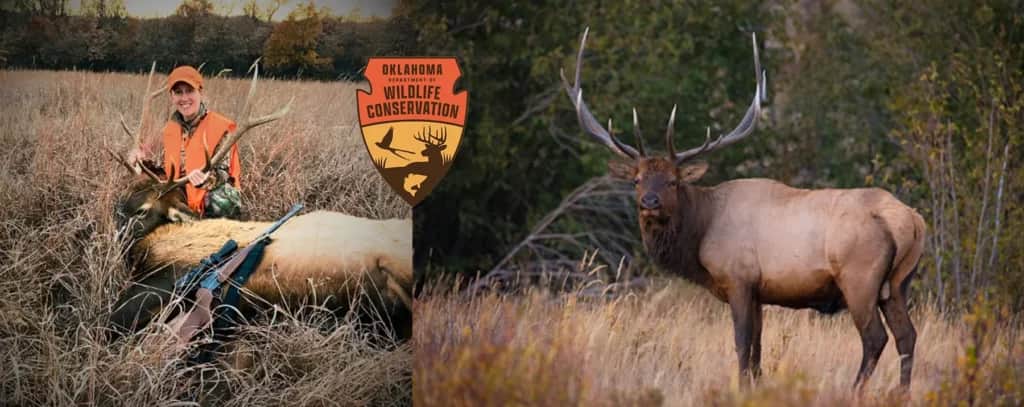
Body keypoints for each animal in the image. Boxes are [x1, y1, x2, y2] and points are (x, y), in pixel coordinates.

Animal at [562, 28, 926, 390]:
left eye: (673, 181)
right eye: (637, 179)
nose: (649, 202)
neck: (700, 232)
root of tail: (911, 220)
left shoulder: (738, 279)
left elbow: (741, 343)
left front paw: (739, 388)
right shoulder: (758, 292)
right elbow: (758, 349)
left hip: (859, 278)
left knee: (875, 338)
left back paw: (855, 391)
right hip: (897, 283)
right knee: (907, 336)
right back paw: (901, 392)